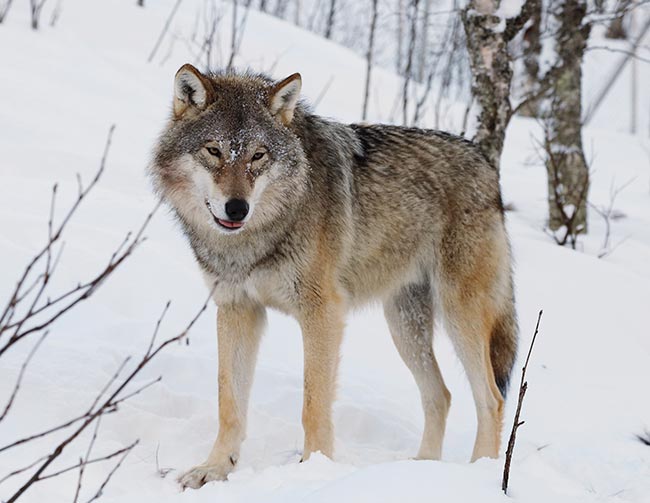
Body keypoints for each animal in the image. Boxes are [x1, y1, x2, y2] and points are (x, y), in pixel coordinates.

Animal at [149, 64, 517, 490]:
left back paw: (479, 474)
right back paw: (418, 471)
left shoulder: (322, 313)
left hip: (460, 317)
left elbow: (313, 403)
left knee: (491, 399)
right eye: (214, 151)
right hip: (404, 326)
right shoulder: (238, 309)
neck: (258, 236)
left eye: (258, 156)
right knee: (440, 395)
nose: (237, 208)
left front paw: (313, 471)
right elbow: (229, 402)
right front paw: (215, 469)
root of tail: (486, 163)